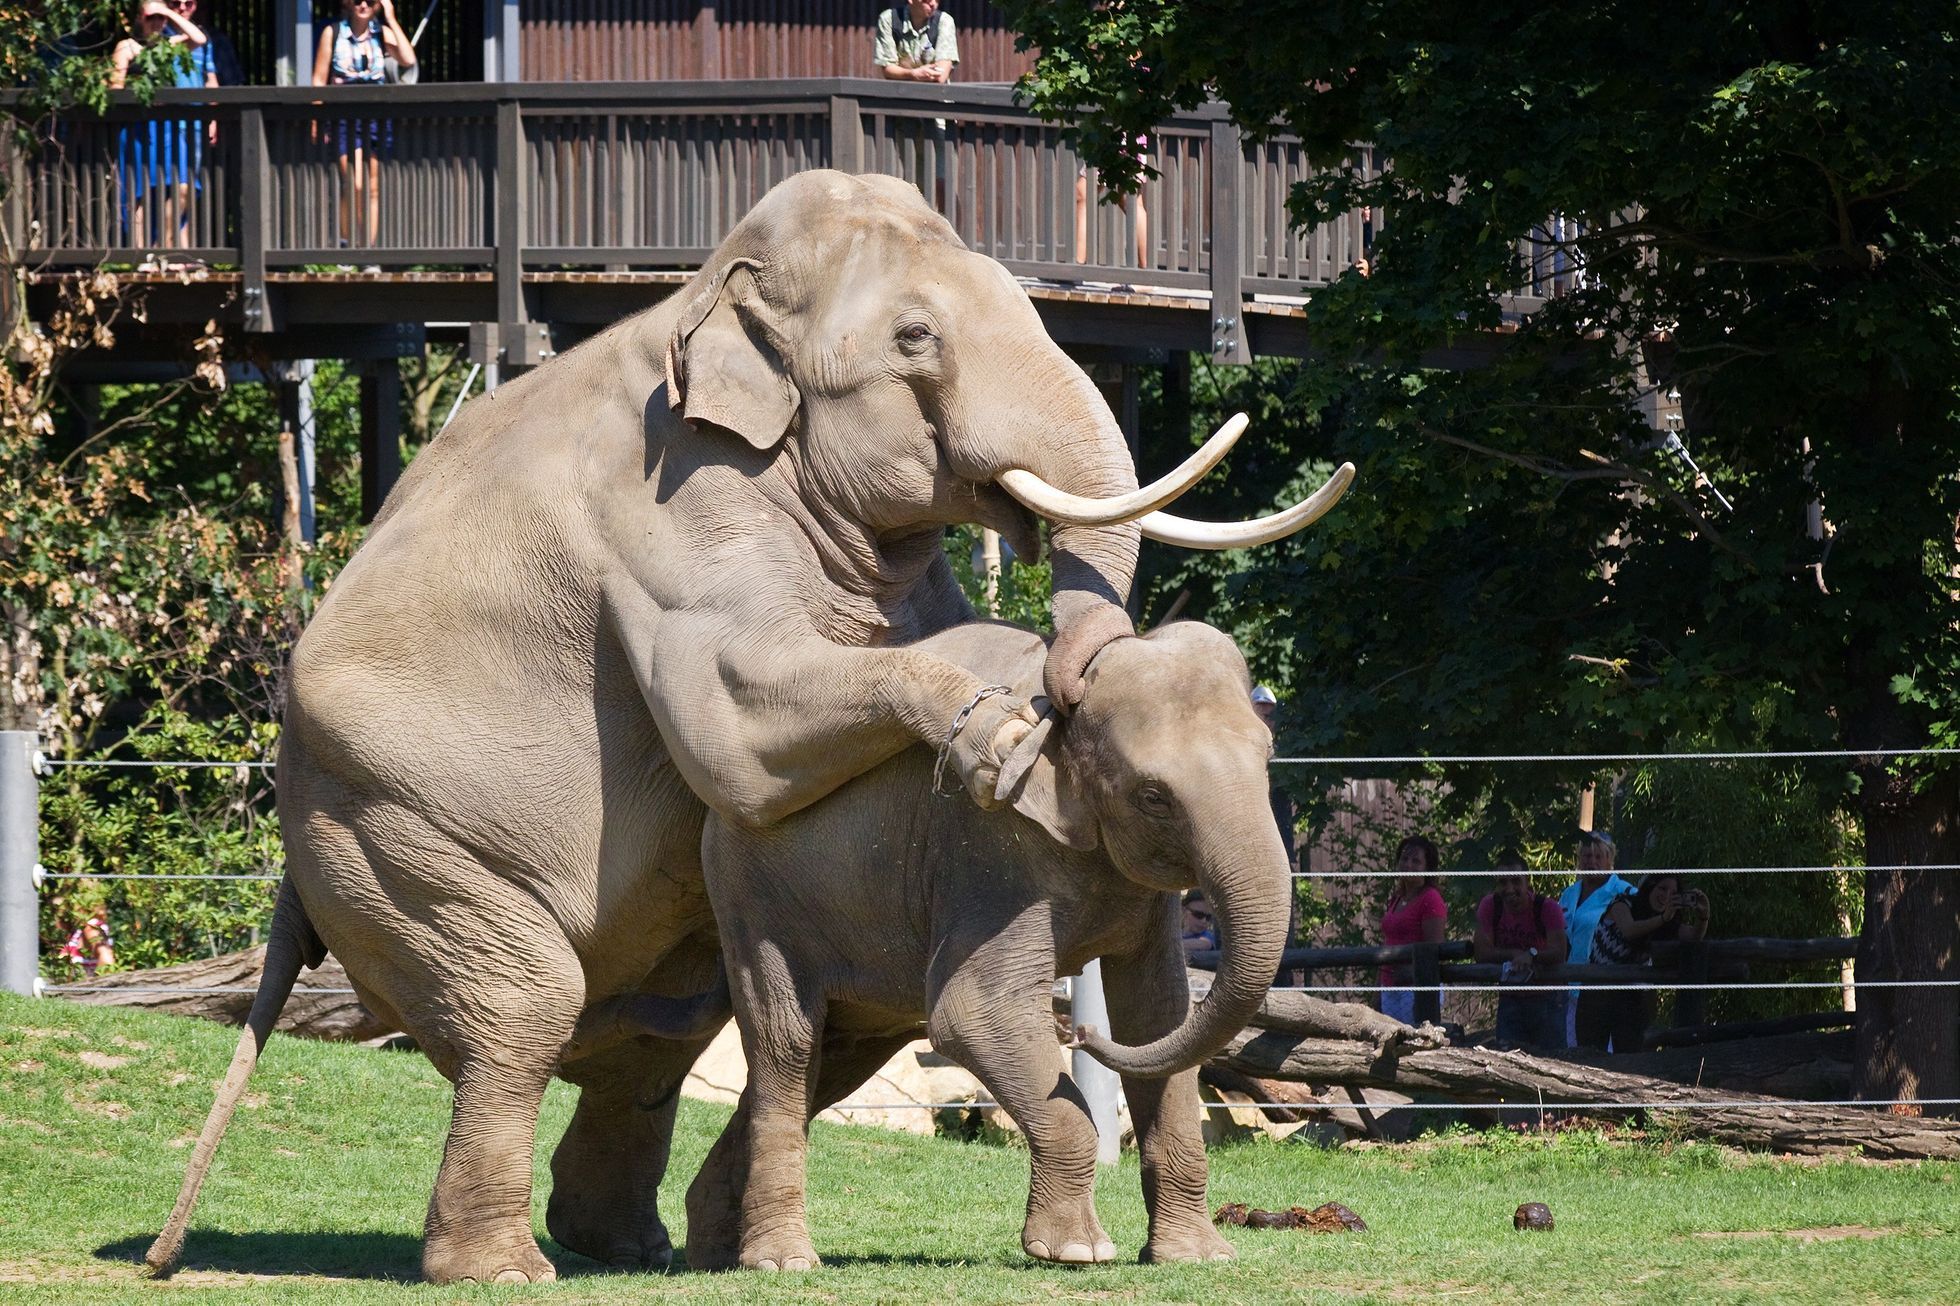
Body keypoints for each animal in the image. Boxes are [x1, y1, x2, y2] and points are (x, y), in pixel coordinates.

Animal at [682, 615, 1293, 1262]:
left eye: (1268, 756)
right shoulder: (992, 850)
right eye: (1153, 796)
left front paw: (1197, 1257)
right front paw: (1076, 1252)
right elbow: (973, 1013)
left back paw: (716, 1253)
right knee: (789, 1046)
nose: (1082, 1032)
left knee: (834, 1060)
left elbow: (1157, 1018)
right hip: (753, 900)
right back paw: (783, 1262)